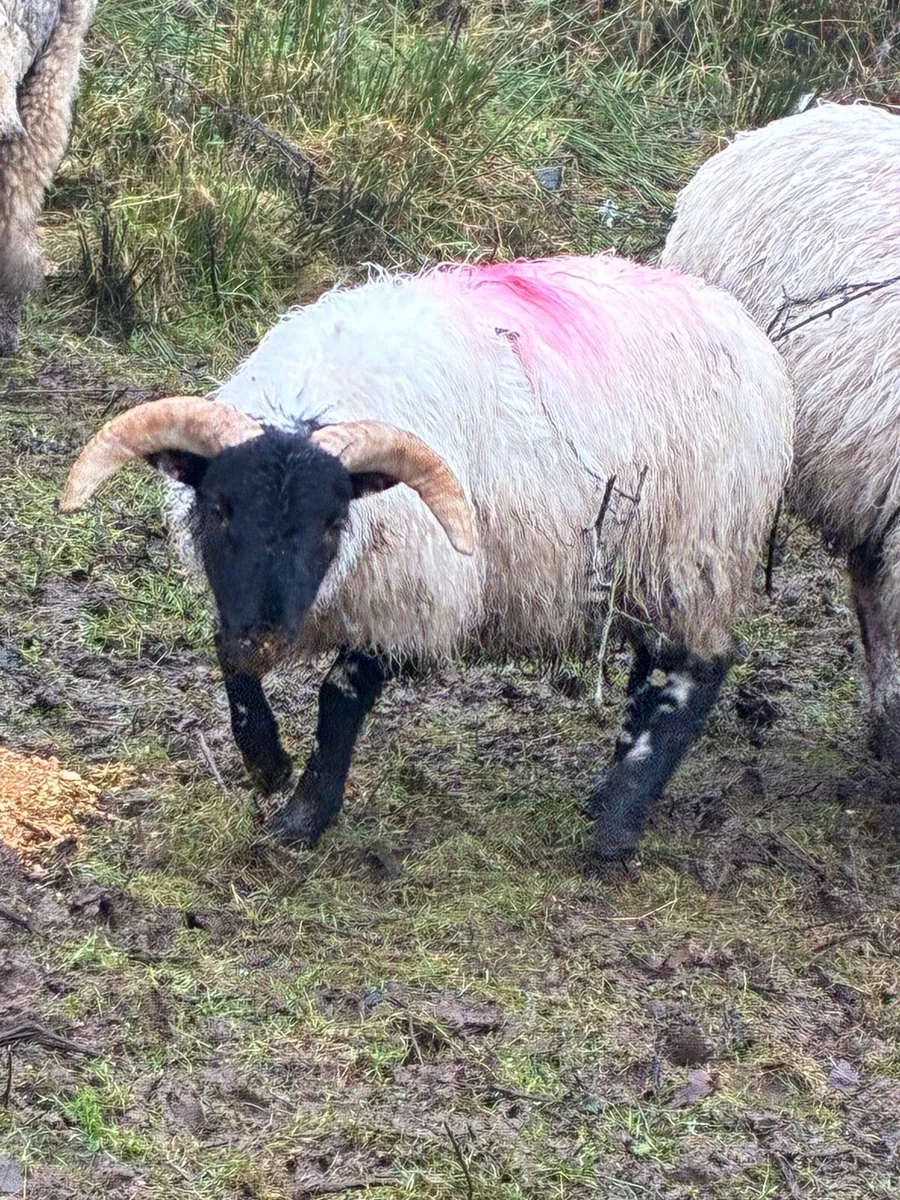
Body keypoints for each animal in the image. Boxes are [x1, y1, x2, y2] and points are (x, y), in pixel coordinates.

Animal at [60, 254, 794, 862]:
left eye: (333, 522)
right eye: (218, 509)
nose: (267, 637)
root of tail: (739, 323)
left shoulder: (411, 591)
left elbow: (340, 698)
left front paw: (302, 817)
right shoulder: (243, 599)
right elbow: (225, 654)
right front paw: (266, 760)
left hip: (696, 546)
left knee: (697, 669)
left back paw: (616, 825)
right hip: (638, 560)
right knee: (652, 667)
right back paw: (607, 790)